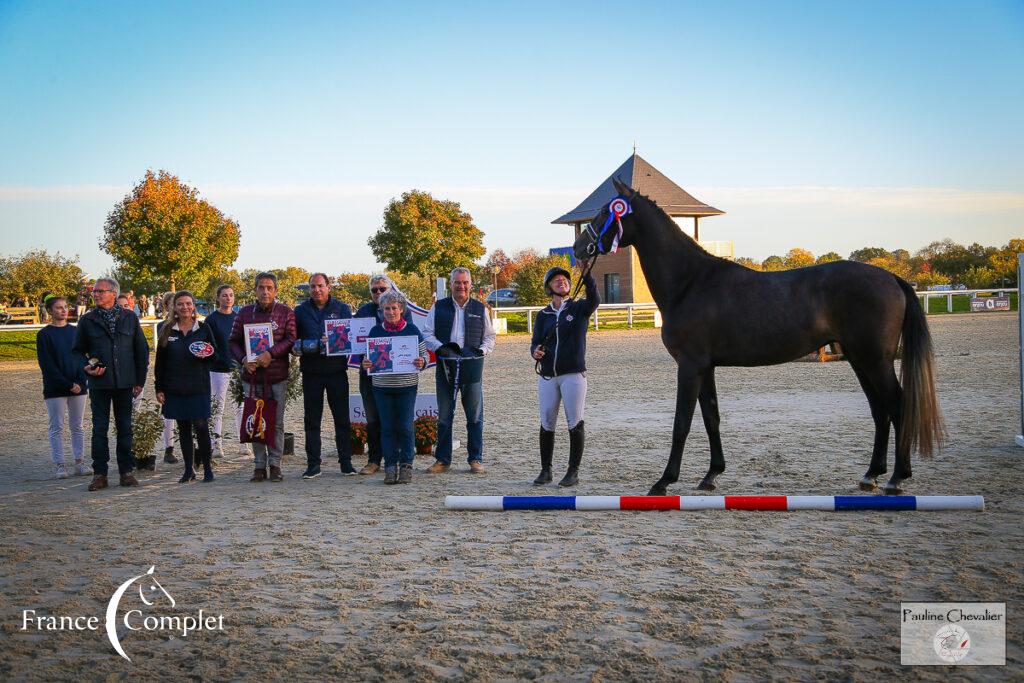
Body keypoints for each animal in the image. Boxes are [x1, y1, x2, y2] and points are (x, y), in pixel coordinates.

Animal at [573, 179, 937, 493]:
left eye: (606, 211)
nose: (577, 247)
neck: (690, 282)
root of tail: (892, 278)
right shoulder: (705, 367)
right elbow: (711, 417)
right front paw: (711, 475)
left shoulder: (689, 367)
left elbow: (681, 423)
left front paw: (664, 481)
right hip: (860, 360)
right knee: (880, 411)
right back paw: (871, 475)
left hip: (875, 361)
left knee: (897, 407)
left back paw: (897, 478)